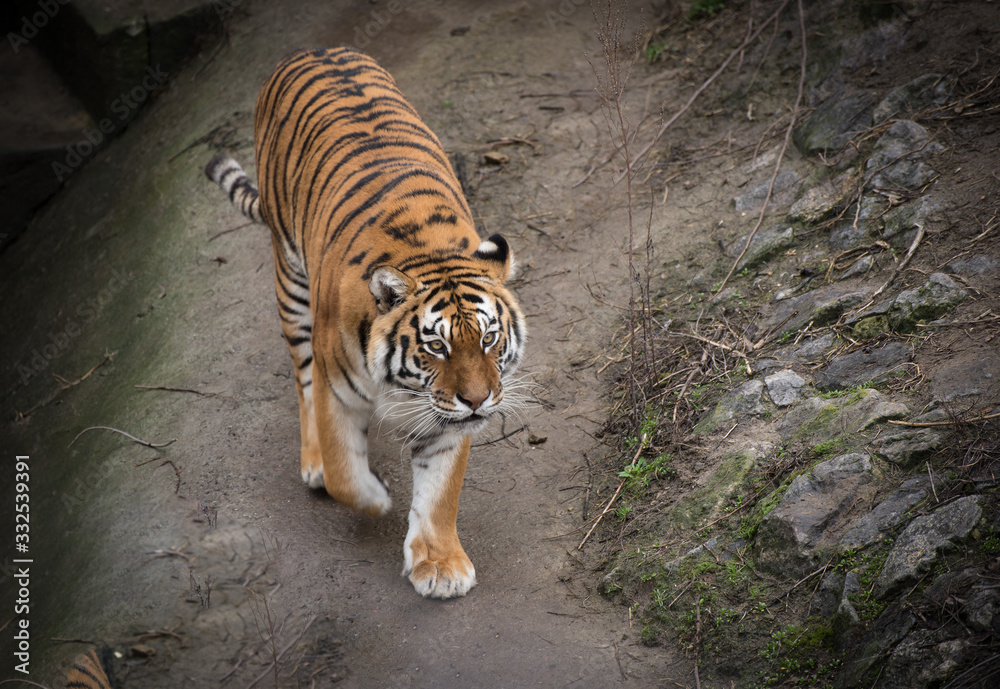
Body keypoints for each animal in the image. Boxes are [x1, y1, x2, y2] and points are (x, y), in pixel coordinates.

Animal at [205, 47, 526, 599]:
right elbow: (344, 474)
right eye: (436, 347)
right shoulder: (337, 390)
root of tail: (312, 50)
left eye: (489, 337)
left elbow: (440, 491)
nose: (478, 400)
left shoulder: (446, 421)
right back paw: (313, 461)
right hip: (290, 283)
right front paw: (376, 498)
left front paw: (440, 565)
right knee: (301, 380)